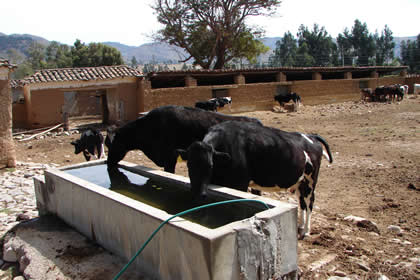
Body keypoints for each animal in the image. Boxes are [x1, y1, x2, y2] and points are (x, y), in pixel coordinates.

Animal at [176, 121, 334, 240]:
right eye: (189, 165)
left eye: (210, 165)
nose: (198, 194)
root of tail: (310, 136)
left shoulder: (239, 183)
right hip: (300, 182)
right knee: (302, 202)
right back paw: (300, 226)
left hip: (310, 180)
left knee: (309, 202)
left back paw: (306, 231)